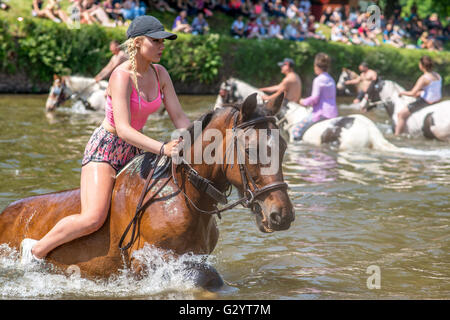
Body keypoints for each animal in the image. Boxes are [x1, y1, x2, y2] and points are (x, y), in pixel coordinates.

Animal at [0, 92, 296, 290]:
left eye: (283, 146)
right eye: (250, 150)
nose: (282, 215)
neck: (185, 195)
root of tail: (7, 212)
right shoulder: (147, 260)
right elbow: (206, 276)